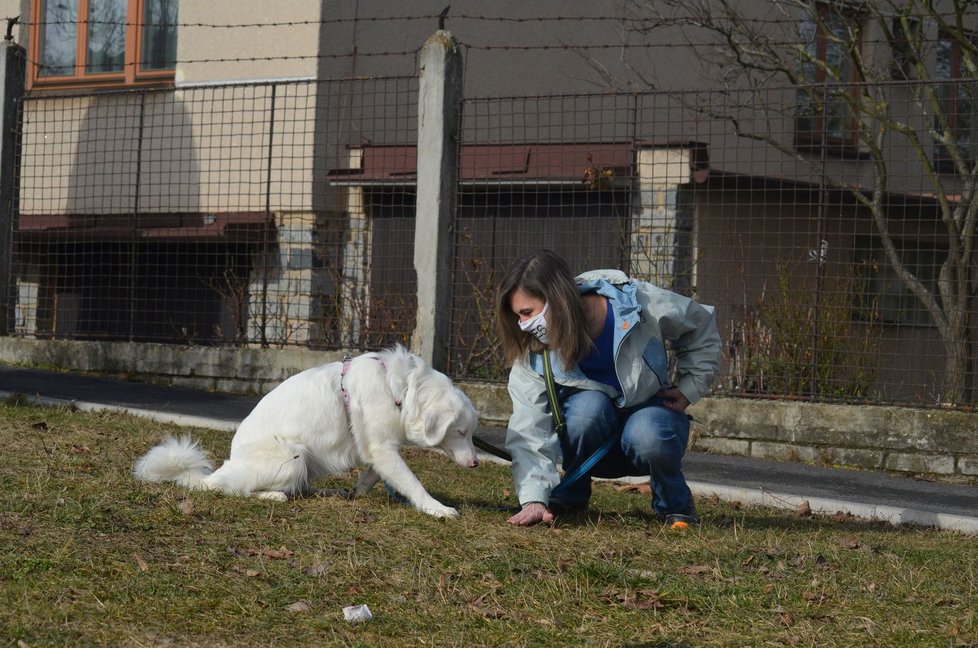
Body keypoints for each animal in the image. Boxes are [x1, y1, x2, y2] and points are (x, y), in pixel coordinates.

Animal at [130, 346, 480, 520]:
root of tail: (220, 469)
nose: (476, 463)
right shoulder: (382, 447)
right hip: (292, 454)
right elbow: (412, 481)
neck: (403, 388)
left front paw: (359, 490)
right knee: (233, 488)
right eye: (461, 432)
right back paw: (273, 495)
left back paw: (328, 492)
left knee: (300, 488)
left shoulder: (376, 447)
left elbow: (374, 473)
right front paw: (436, 508)